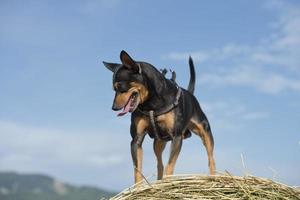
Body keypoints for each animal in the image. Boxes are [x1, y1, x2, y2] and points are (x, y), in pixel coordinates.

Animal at [103, 50, 216, 184]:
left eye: (120, 87)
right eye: (113, 89)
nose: (113, 107)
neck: (151, 104)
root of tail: (189, 93)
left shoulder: (177, 137)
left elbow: (170, 165)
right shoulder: (136, 140)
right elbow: (137, 169)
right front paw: (138, 186)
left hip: (205, 130)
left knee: (211, 158)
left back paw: (214, 176)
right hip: (159, 142)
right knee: (160, 164)